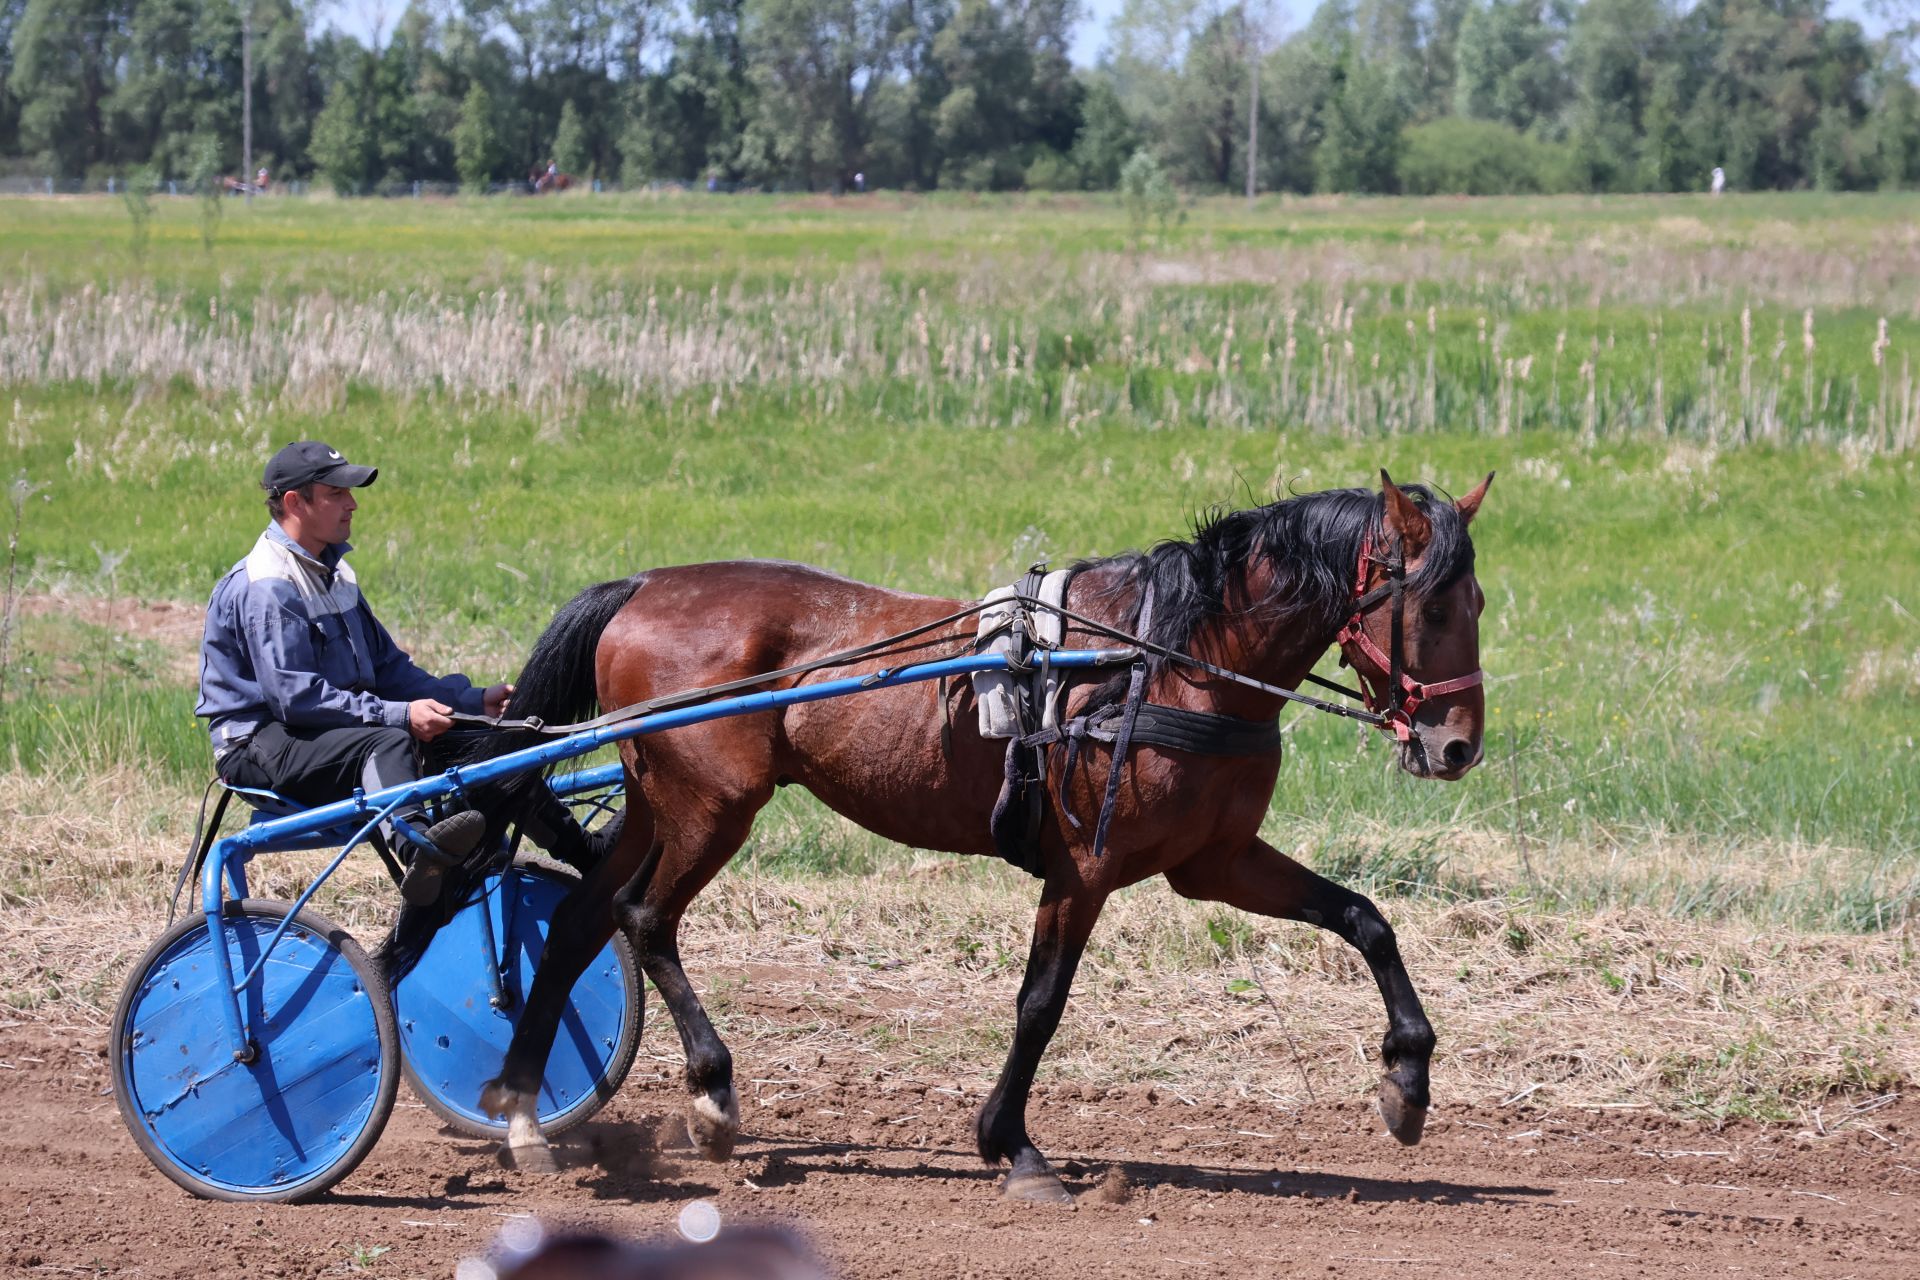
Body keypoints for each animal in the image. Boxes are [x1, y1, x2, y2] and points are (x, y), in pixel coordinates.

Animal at [472, 470, 1489, 1205]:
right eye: (1435, 607)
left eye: (1476, 602)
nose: (1458, 745)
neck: (1169, 663)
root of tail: (644, 585)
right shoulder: (1086, 867)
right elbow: (1041, 1004)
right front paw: (1014, 1146)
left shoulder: (1216, 862)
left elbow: (1365, 920)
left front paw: (1408, 1079)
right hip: (714, 808)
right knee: (644, 917)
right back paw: (712, 1096)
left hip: (657, 804)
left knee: (578, 924)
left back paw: (523, 1113)